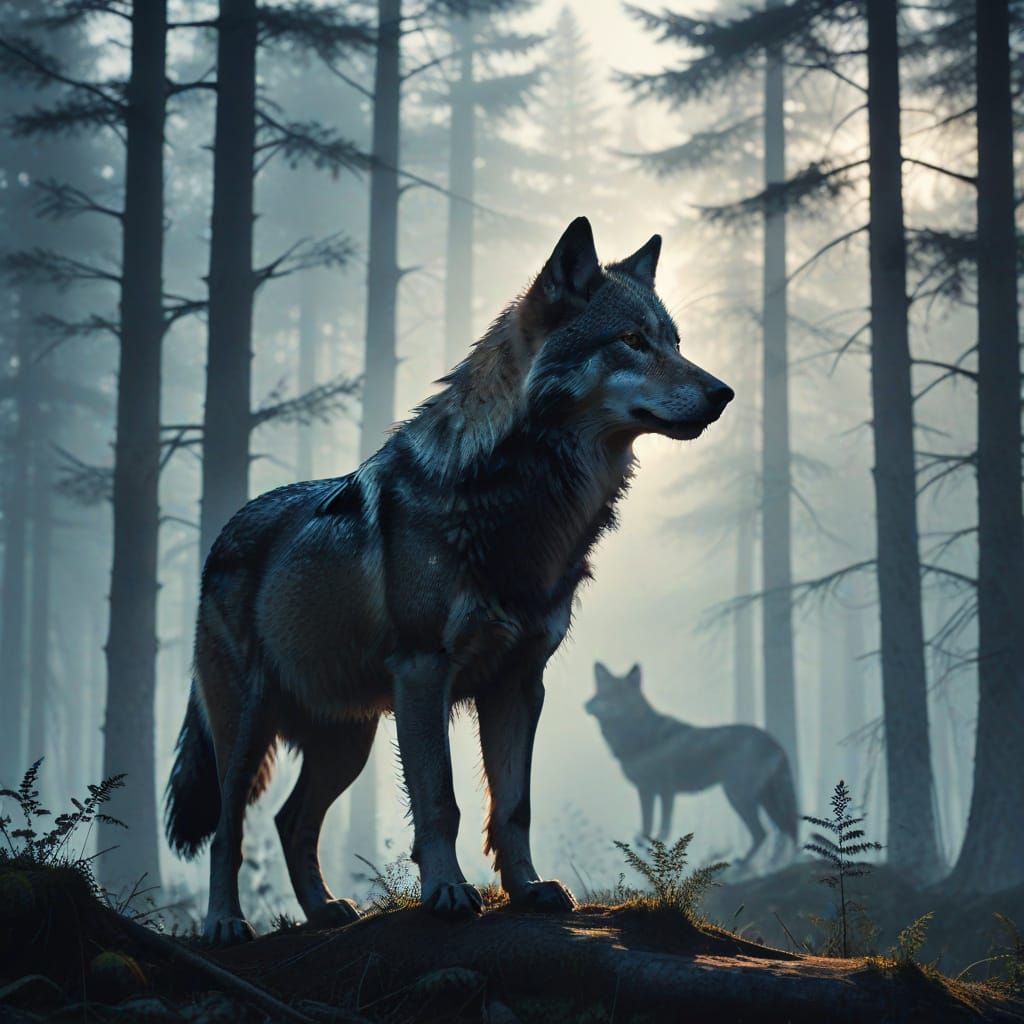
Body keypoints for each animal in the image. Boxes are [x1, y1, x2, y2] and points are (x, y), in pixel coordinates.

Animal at [165, 217, 733, 944]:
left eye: (675, 343)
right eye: (632, 341)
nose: (723, 393)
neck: (523, 506)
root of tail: (222, 535)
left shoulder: (520, 683)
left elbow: (513, 805)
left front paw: (526, 889)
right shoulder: (423, 672)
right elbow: (442, 800)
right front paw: (446, 891)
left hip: (347, 742)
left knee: (292, 822)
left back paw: (325, 911)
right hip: (244, 733)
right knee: (228, 830)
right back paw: (225, 924)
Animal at [586, 663, 797, 863]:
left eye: (613, 693)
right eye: (599, 691)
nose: (587, 704)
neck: (638, 737)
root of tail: (774, 741)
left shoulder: (664, 790)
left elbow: (661, 829)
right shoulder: (647, 790)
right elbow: (648, 828)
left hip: (737, 795)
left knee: (764, 833)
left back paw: (744, 866)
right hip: (762, 799)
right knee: (781, 831)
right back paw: (772, 863)